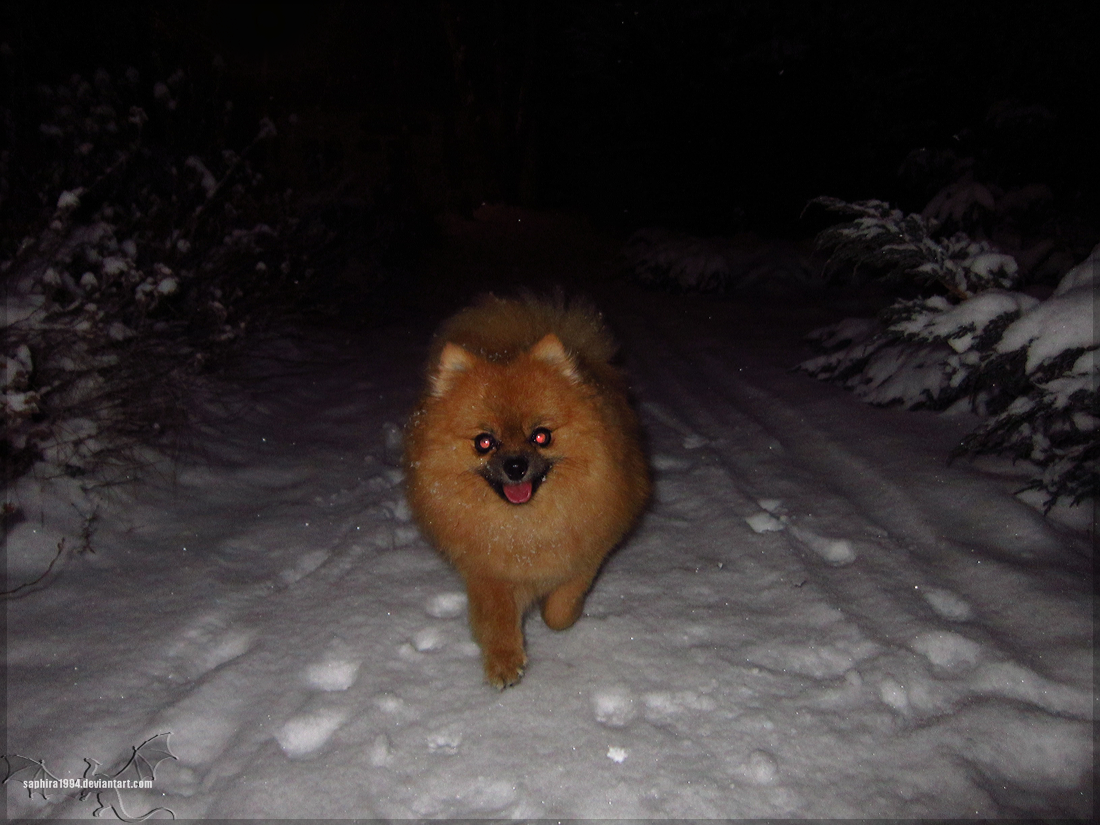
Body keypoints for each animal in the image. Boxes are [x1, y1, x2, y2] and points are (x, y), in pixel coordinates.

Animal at [404, 294, 646, 686]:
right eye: (484, 442)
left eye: (541, 436)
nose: (515, 466)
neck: (524, 528)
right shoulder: (488, 571)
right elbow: (497, 618)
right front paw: (504, 661)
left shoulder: (588, 554)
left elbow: (561, 607)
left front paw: (565, 616)